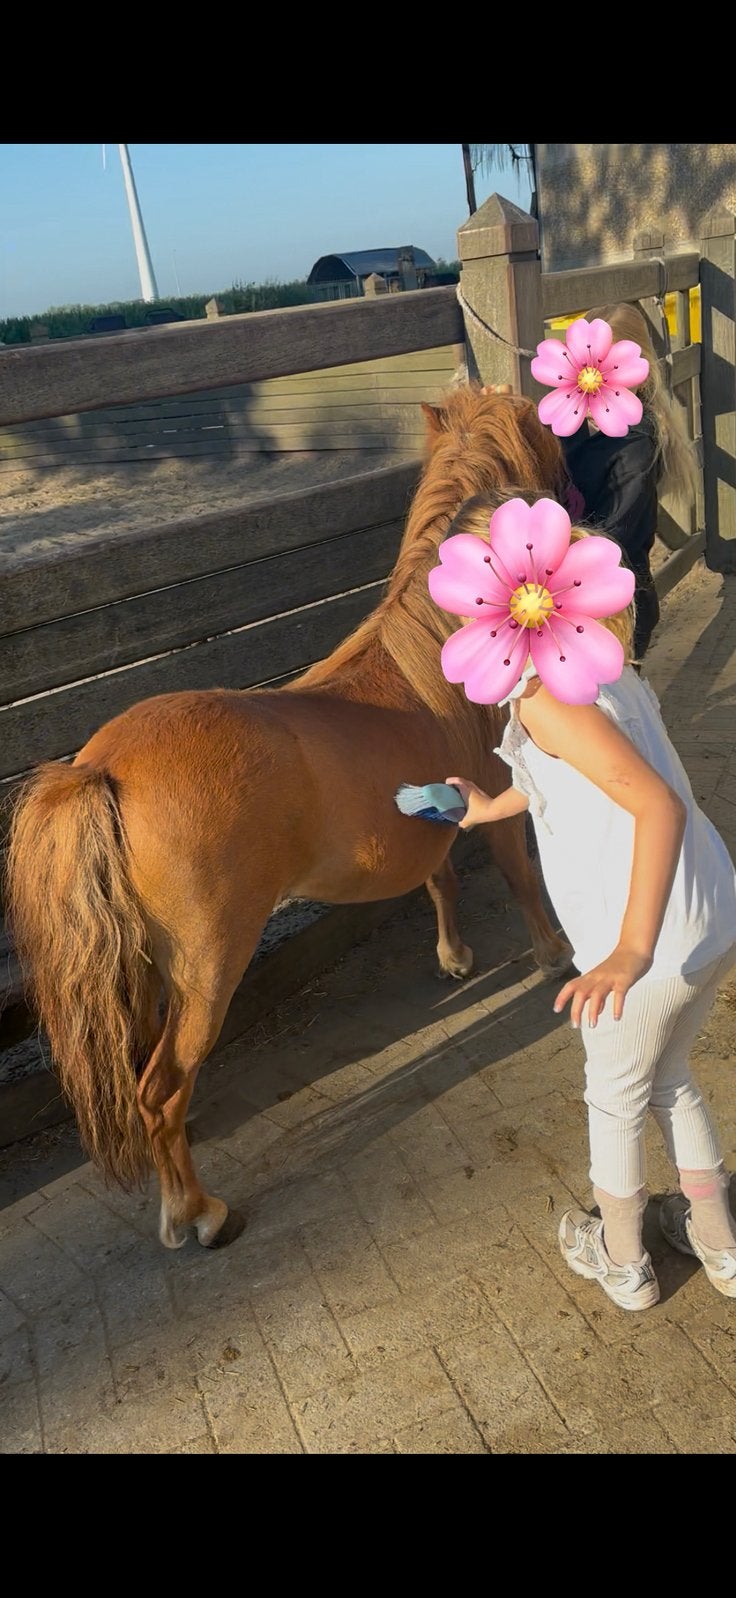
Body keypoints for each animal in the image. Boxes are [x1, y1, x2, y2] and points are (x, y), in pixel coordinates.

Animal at [6, 386, 572, 1253]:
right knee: (160, 1089)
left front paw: (453, 956)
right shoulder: (499, 809)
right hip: (211, 962)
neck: (434, 653)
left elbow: (440, 880)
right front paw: (555, 958)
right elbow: (521, 882)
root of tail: (100, 768)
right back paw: (198, 1212)